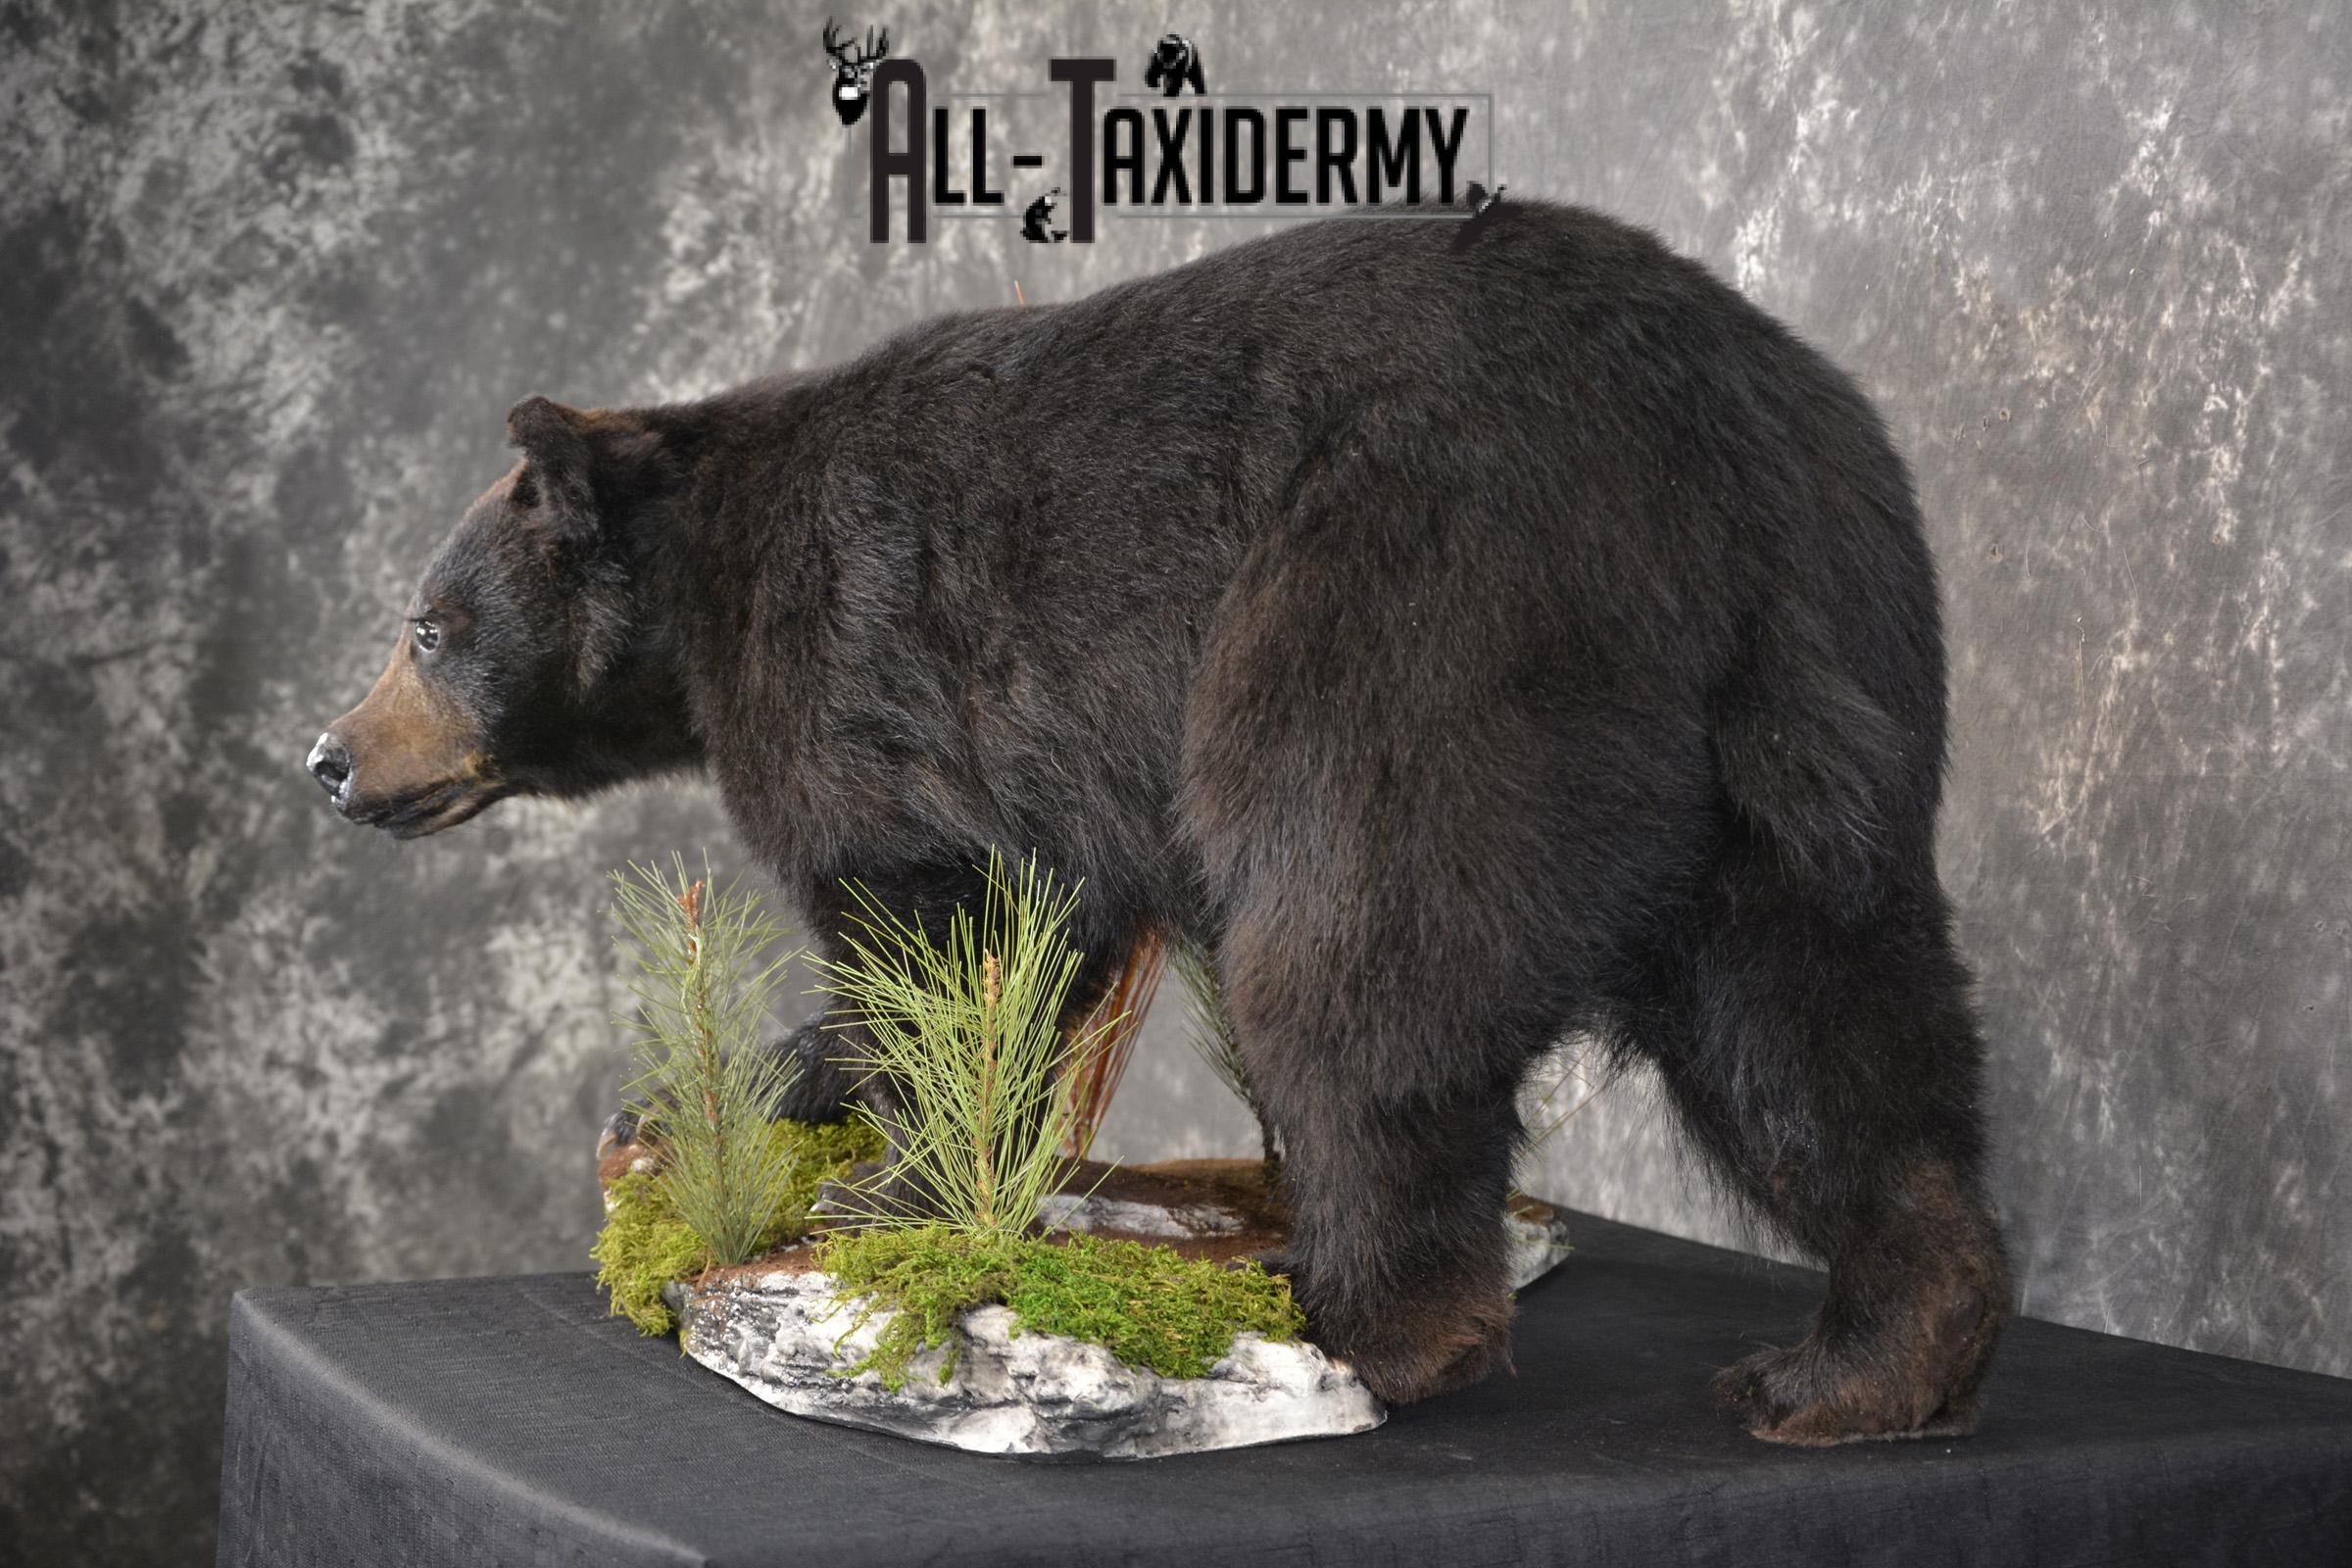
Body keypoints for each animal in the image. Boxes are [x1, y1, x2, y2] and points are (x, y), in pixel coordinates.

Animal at [308, 200, 2011, 1442]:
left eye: (429, 627)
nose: (329, 757)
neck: (705, 587)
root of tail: (1702, 459)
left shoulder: (864, 665)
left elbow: (924, 922)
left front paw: (878, 1185)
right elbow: (1024, 942)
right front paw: (752, 1094)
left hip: (1408, 621)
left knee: (1349, 964)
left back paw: (1369, 1322)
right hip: (1821, 689)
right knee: (1820, 1027)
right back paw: (1857, 1365)